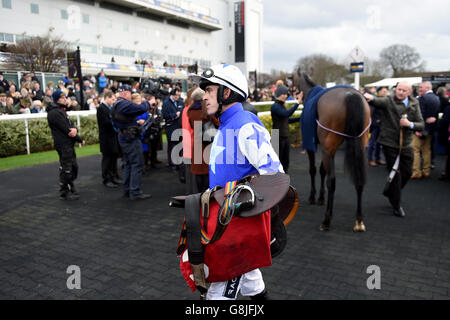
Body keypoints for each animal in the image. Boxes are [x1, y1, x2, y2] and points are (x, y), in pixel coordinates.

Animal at [298, 71, 370, 231]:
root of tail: (350, 94)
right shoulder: (326, 149)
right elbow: (322, 170)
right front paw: (320, 198)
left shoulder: (314, 146)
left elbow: (313, 170)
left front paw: (313, 197)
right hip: (358, 146)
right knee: (359, 179)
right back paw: (359, 220)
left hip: (329, 147)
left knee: (332, 181)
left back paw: (326, 220)